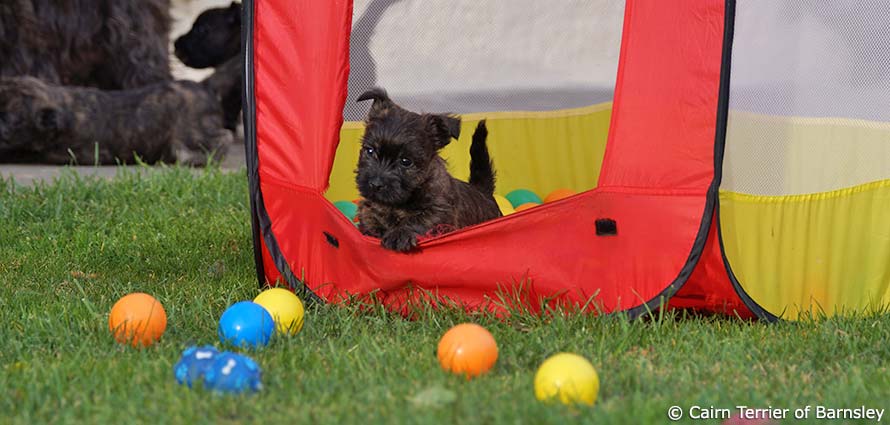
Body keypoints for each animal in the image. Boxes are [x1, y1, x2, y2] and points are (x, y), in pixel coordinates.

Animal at [350, 87, 500, 250]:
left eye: (406, 161)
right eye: (370, 151)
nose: (375, 184)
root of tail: (483, 191)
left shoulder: (439, 212)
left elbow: (418, 220)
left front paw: (399, 234)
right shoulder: (369, 206)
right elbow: (370, 216)